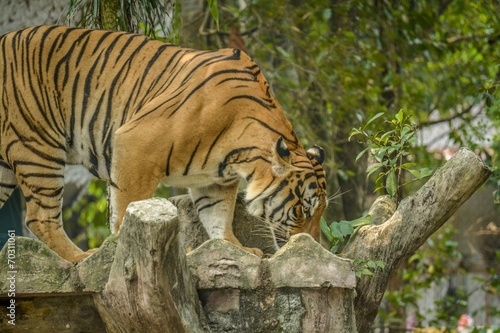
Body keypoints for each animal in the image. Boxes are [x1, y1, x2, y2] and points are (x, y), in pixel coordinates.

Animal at [0, 25, 326, 262]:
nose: (314, 246)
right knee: (41, 218)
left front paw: (236, 248)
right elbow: (127, 207)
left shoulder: (214, 182)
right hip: (36, 147)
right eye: (303, 210)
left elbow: (218, 217)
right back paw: (81, 257)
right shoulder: (135, 144)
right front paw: (120, 252)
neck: (240, 158)